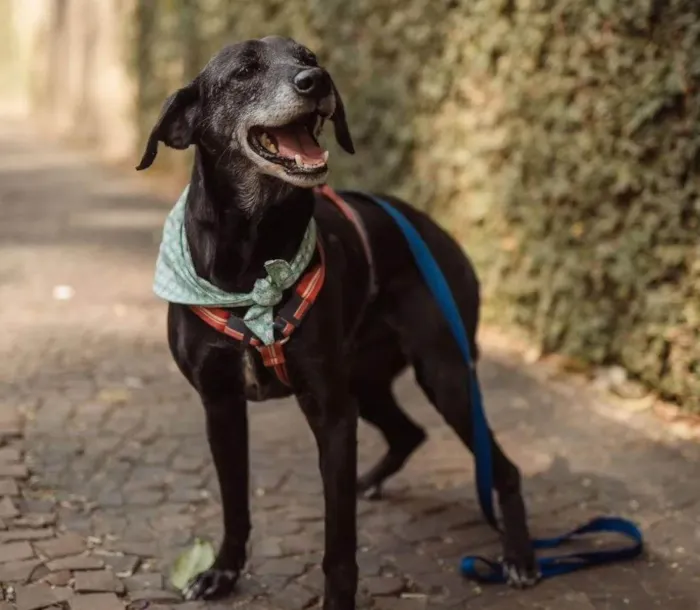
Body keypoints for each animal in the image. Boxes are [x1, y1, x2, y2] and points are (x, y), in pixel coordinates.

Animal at [137, 35, 536, 604]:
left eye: (308, 56)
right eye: (244, 70)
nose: (317, 81)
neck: (252, 258)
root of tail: (435, 230)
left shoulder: (330, 412)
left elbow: (339, 543)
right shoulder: (221, 406)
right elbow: (236, 504)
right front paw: (222, 572)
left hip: (445, 376)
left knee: (503, 468)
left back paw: (520, 556)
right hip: (367, 382)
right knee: (409, 433)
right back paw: (371, 482)